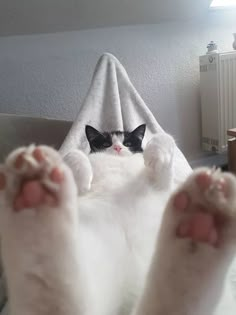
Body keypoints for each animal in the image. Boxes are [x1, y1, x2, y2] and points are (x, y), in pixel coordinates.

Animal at [0, 126, 236, 315]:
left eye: (128, 142)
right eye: (105, 142)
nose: (117, 148)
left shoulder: (162, 183)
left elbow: (164, 138)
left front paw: (156, 156)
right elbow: (74, 153)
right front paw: (82, 177)